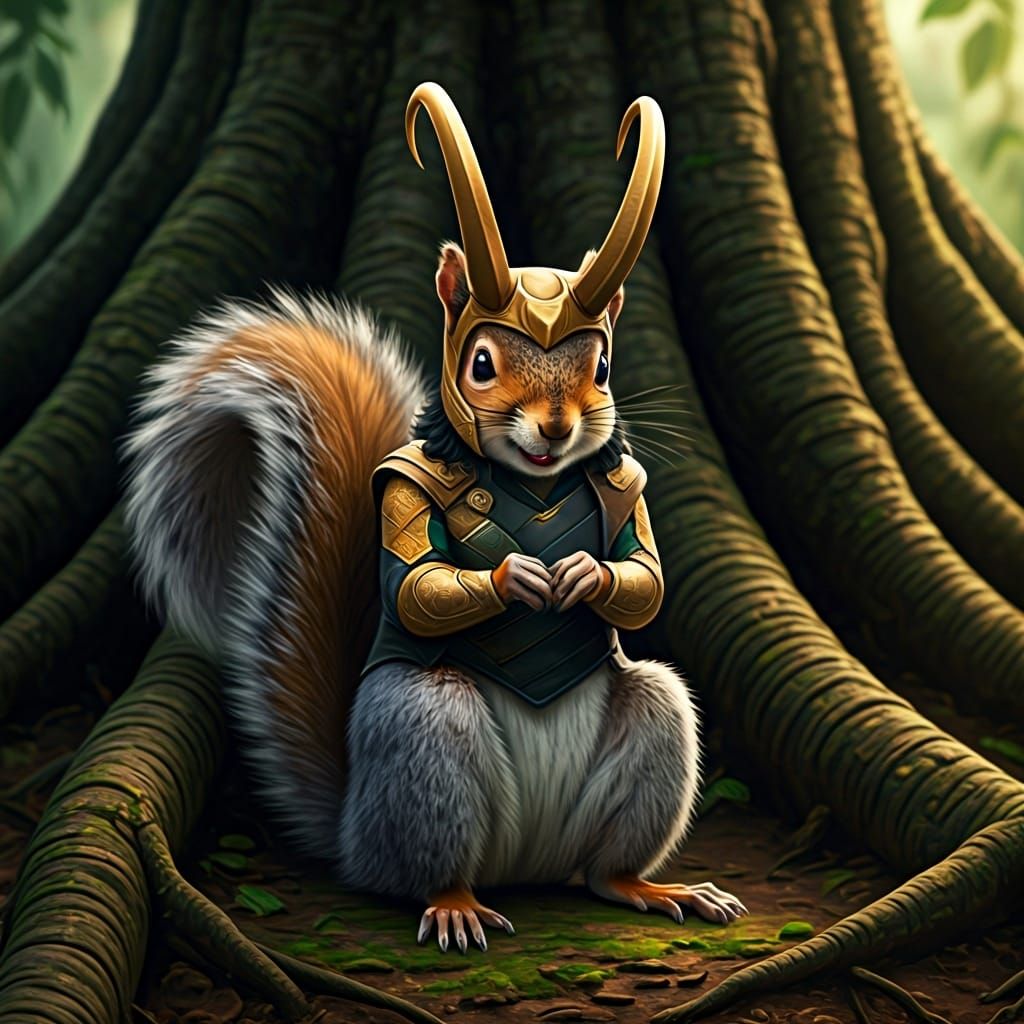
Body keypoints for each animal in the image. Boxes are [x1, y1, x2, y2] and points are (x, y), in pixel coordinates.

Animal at [124, 83, 746, 953]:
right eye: (482, 363)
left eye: (603, 366)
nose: (557, 429)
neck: (532, 483)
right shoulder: (405, 494)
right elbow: (415, 583)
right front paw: (517, 575)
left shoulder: (628, 487)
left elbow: (647, 576)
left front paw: (583, 574)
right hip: (425, 735)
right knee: (424, 861)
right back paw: (453, 905)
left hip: (653, 723)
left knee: (604, 863)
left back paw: (651, 886)